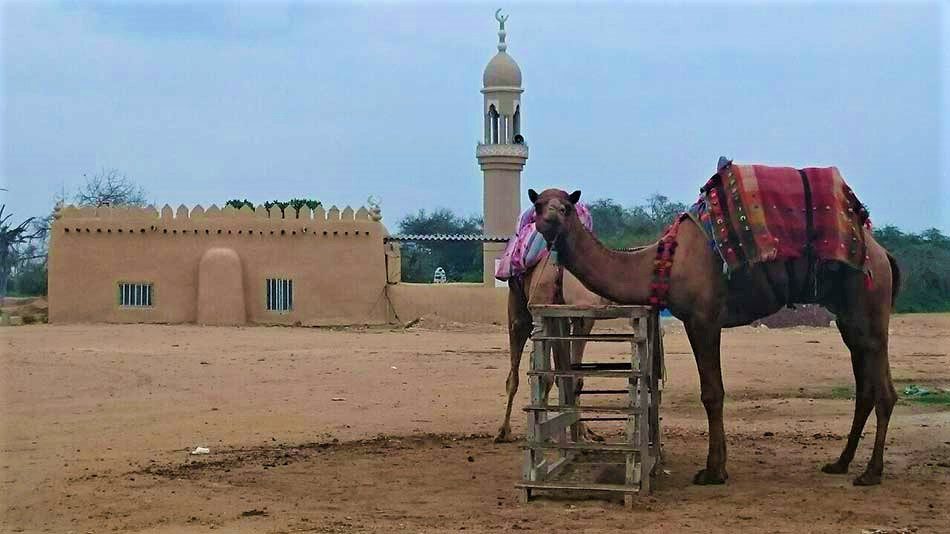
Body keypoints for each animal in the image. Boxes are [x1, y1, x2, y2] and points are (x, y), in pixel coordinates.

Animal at [532, 186, 904, 488]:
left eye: (566, 207)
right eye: (538, 204)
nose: (549, 220)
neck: (662, 261)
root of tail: (884, 255)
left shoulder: (703, 319)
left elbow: (712, 393)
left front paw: (712, 472)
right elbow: (714, 391)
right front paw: (718, 467)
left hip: (868, 304)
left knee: (884, 389)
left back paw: (871, 473)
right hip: (849, 316)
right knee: (865, 387)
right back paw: (840, 463)